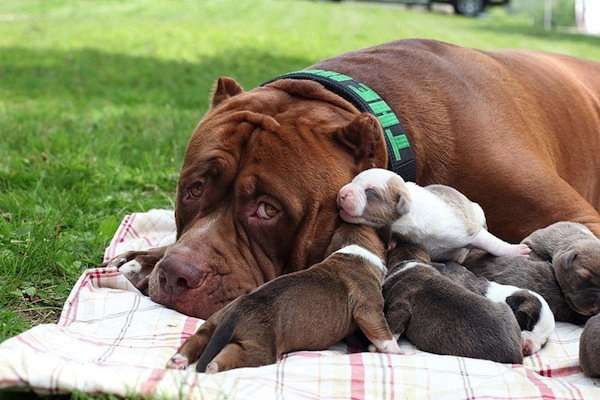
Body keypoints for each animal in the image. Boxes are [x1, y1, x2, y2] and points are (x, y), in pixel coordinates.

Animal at [165, 223, 398, 374]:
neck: (354, 249)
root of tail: (237, 311)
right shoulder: (368, 309)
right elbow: (382, 333)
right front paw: (395, 350)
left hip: (214, 321)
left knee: (198, 338)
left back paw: (178, 359)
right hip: (259, 347)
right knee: (231, 354)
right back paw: (213, 366)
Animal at [338, 167, 528, 260]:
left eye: (370, 192)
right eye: (353, 180)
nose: (341, 194)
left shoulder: (467, 230)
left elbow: (492, 242)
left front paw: (515, 250)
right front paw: (392, 242)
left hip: (477, 211)